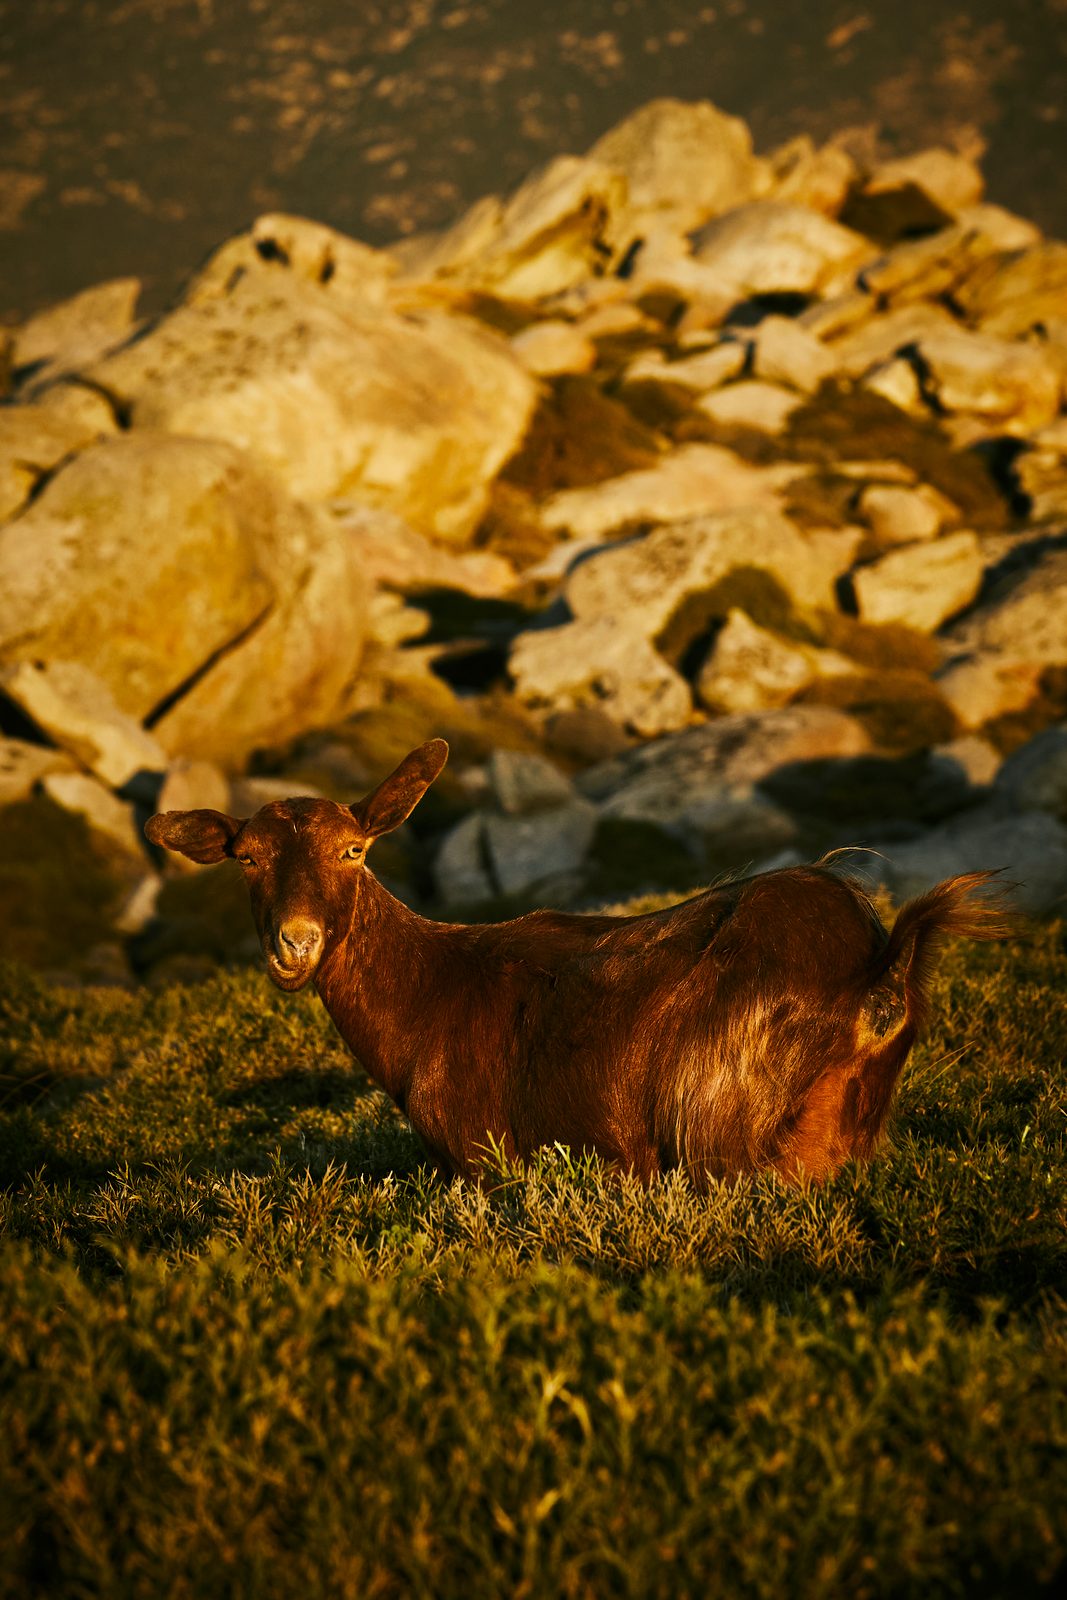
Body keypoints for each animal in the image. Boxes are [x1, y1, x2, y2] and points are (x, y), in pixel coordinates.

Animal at [145, 739, 1010, 1186]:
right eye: (246, 858)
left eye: (353, 850)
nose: (295, 943)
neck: (426, 997)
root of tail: (875, 981)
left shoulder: (483, 1157)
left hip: (721, 1131)